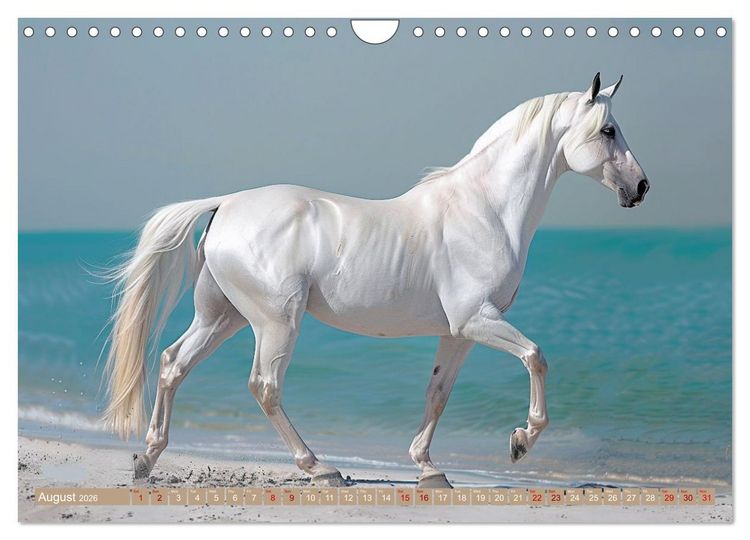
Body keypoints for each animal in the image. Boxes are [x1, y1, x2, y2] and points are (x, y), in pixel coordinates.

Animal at [103, 73, 649, 488]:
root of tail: (226, 204)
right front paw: (520, 441)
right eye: (607, 130)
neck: (485, 208)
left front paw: (429, 470)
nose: (641, 187)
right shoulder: (477, 320)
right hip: (275, 322)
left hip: (224, 316)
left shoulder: (459, 333)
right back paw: (320, 468)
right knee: (264, 386)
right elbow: (535, 357)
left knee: (173, 364)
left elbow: (438, 393)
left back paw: (147, 459)